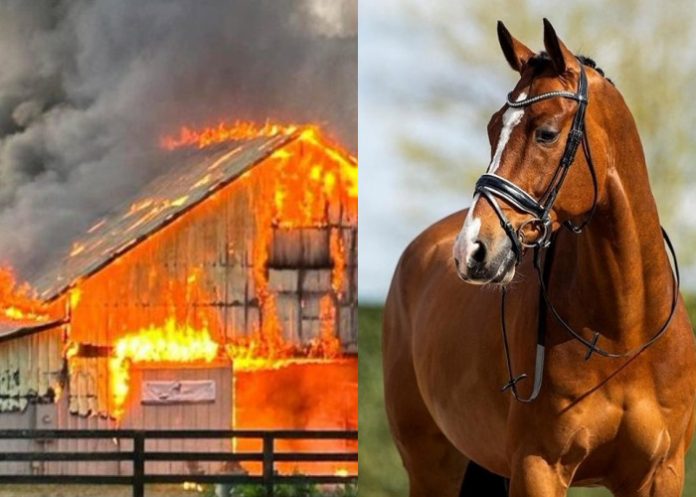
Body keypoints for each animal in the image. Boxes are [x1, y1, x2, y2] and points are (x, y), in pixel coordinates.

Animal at [384, 17, 696, 494]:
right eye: (493, 128)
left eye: (546, 132)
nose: (471, 250)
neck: (624, 334)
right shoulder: (538, 467)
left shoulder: (660, 474)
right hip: (431, 466)